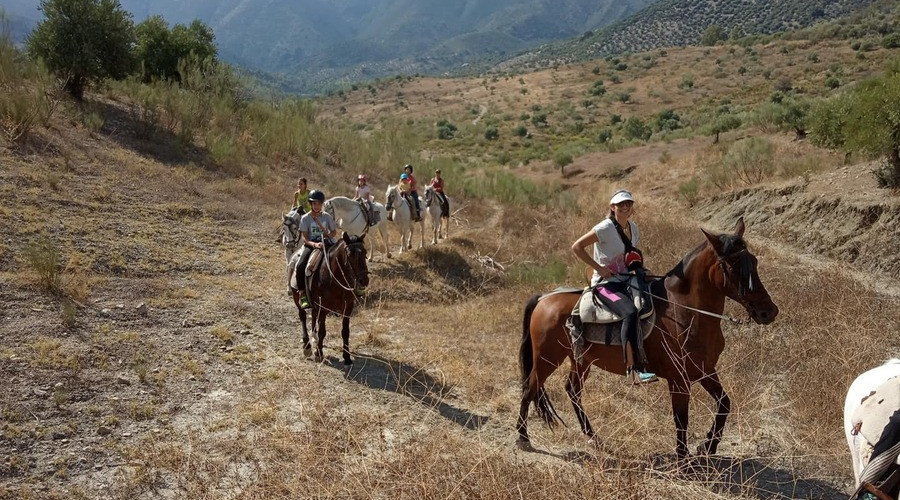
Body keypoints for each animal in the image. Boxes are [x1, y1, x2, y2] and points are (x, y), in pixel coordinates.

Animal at [292, 232, 370, 366]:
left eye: (365, 252)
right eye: (350, 254)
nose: (364, 280)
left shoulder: (348, 307)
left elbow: (345, 331)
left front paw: (347, 357)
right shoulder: (323, 308)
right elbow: (322, 332)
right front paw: (319, 354)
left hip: (315, 306)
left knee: (313, 318)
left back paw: (314, 340)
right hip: (297, 298)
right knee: (302, 316)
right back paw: (307, 347)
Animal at [520, 217, 780, 458]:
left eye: (754, 262)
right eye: (733, 267)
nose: (768, 311)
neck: (684, 311)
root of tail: (544, 298)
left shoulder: (704, 370)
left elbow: (724, 403)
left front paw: (708, 446)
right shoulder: (679, 379)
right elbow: (681, 418)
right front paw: (683, 457)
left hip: (580, 360)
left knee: (572, 391)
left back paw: (594, 438)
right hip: (547, 358)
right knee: (530, 388)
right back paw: (522, 438)